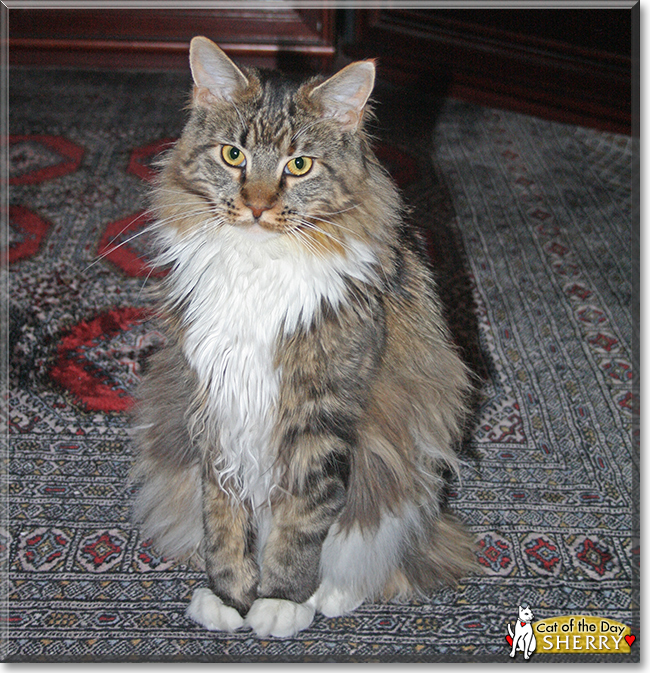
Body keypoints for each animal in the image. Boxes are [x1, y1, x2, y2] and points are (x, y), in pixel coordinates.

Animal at [132, 35, 476, 636]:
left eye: (299, 165)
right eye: (233, 156)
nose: (257, 205)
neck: (257, 265)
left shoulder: (321, 411)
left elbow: (302, 521)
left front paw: (281, 601)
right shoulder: (215, 402)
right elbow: (222, 518)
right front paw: (230, 598)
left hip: (401, 478)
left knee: (370, 548)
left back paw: (329, 596)